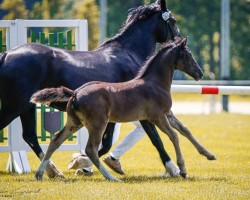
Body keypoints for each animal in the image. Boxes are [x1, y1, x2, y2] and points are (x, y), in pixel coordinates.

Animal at [0, 1, 181, 177]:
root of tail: (7, 54)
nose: (179, 40)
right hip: (15, 106)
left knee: (30, 136)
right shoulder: (143, 112)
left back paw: (53, 171)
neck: (129, 53)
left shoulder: (115, 116)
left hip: (27, 107)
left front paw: (84, 164)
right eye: (173, 21)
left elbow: (106, 143)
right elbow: (155, 138)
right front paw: (173, 169)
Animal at [30, 37, 203, 181]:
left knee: (56, 140)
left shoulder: (164, 115)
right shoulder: (157, 116)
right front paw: (182, 169)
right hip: (98, 124)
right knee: (91, 149)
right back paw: (111, 177)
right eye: (187, 55)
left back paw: (40, 173)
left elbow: (182, 131)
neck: (155, 83)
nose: (200, 73)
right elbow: (174, 136)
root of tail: (75, 93)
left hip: (74, 123)